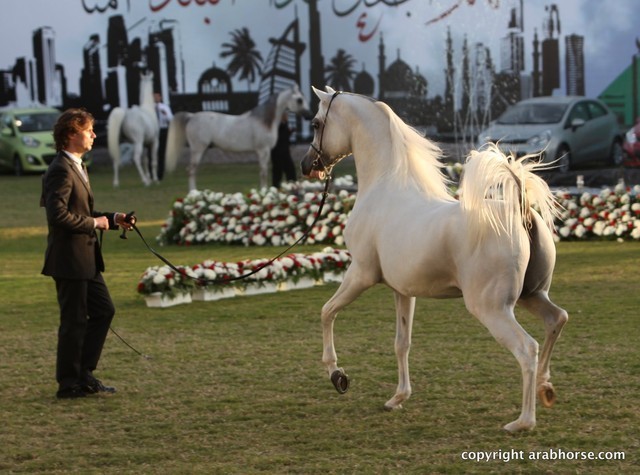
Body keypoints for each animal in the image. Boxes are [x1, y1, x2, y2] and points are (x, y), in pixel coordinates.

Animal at [165, 84, 311, 191]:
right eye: (299, 100)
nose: (309, 115)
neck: (265, 121)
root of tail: (191, 116)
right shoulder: (262, 150)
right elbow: (263, 172)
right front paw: (264, 191)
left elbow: (263, 171)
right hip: (198, 149)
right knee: (191, 170)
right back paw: (193, 193)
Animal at [301, 86, 568, 433]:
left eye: (317, 123)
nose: (308, 165)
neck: (385, 187)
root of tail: (520, 209)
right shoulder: (402, 291)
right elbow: (402, 343)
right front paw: (397, 398)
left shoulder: (360, 274)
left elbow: (326, 312)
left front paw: (338, 376)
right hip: (531, 296)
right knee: (556, 319)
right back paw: (545, 388)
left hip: (492, 308)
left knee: (527, 349)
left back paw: (522, 422)